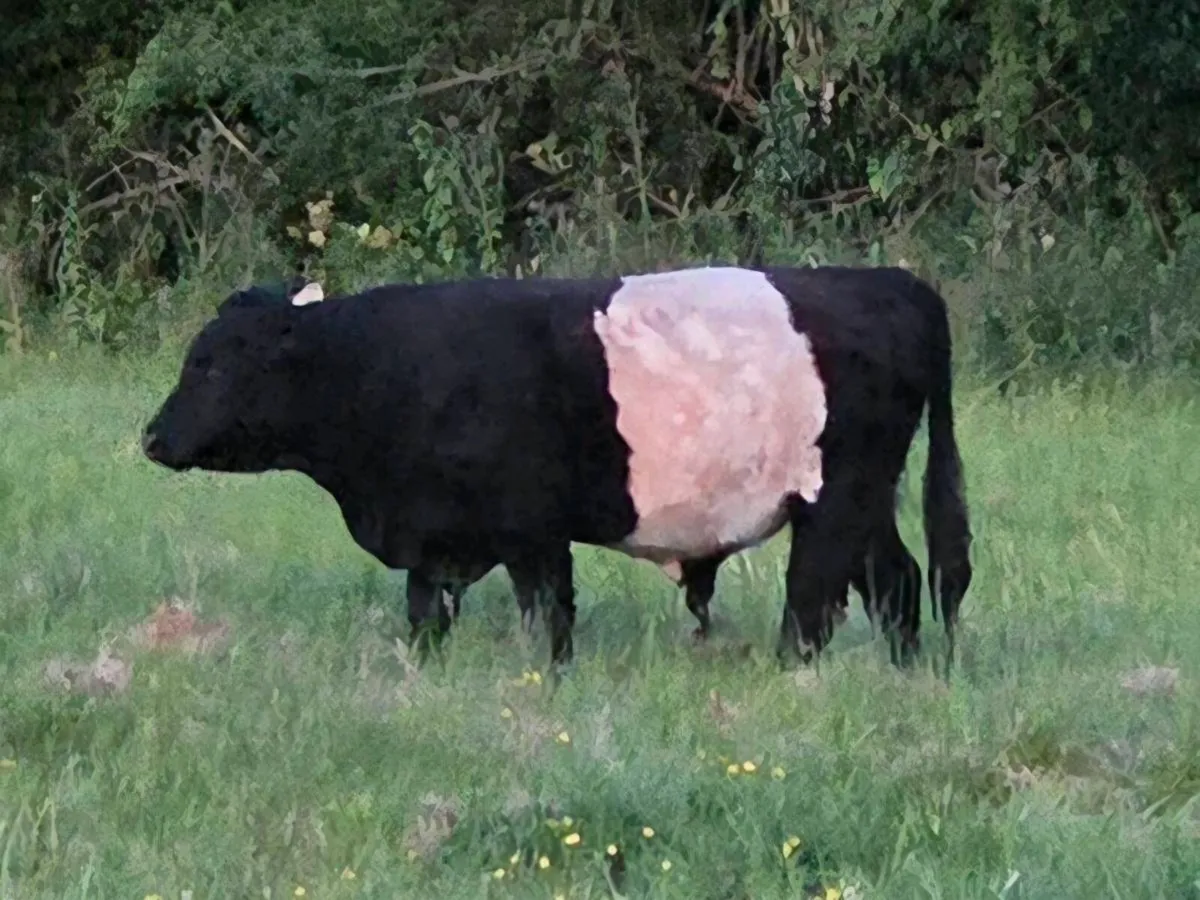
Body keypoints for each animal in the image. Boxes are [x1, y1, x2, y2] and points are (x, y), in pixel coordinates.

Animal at [141, 264, 973, 671]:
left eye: (213, 364)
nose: (151, 436)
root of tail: (891, 280)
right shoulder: (437, 537)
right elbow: (425, 616)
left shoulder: (531, 532)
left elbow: (548, 616)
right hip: (866, 500)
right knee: (896, 582)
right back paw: (906, 670)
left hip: (838, 496)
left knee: (815, 600)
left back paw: (790, 670)